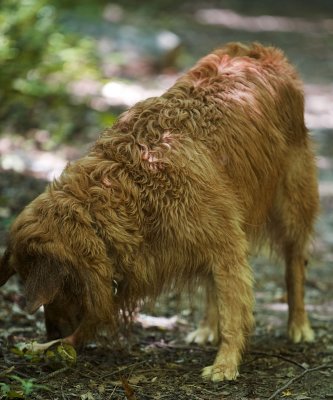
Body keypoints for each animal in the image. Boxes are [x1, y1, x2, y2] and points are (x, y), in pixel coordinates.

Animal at [0, 43, 318, 382]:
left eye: (53, 292)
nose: (50, 332)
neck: (132, 186)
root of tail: (258, 51)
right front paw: (48, 347)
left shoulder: (227, 248)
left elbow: (234, 311)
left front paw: (225, 363)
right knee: (214, 287)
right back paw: (207, 328)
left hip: (291, 203)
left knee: (295, 265)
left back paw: (299, 324)